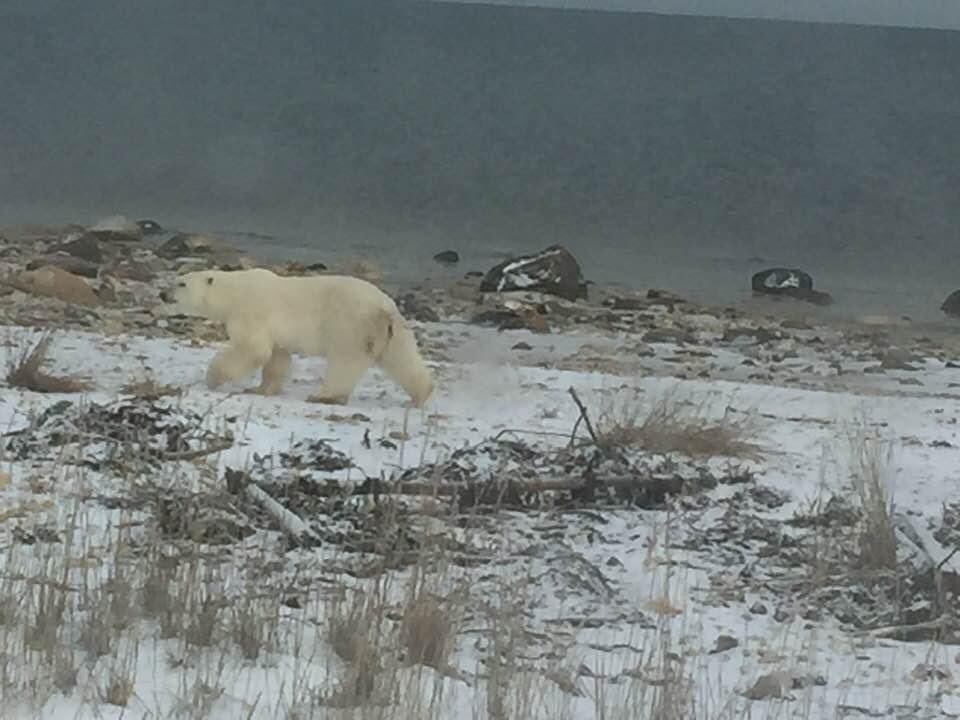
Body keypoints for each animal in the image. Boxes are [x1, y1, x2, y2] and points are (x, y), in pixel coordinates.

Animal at [160, 268, 434, 407]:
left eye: (181, 283)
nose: (162, 293)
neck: (233, 291)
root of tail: (384, 307)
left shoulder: (251, 310)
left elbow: (253, 348)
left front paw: (213, 378)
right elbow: (277, 357)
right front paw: (261, 388)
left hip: (350, 325)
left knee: (345, 362)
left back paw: (324, 395)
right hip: (393, 330)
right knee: (402, 358)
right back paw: (420, 396)